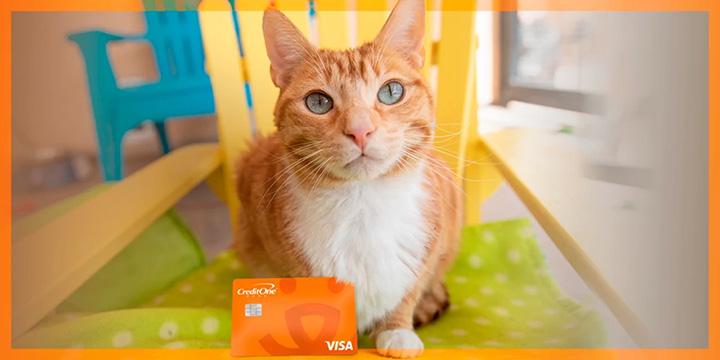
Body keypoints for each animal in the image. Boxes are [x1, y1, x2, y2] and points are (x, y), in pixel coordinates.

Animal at [236, 0, 462, 354]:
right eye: (318, 102)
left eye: (391, 91)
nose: (360, 130)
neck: (362, 205)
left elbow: (408, 288)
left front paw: (397, 329)